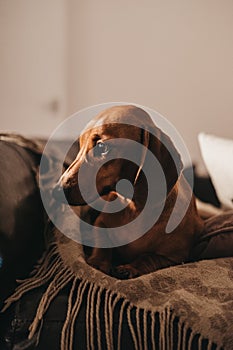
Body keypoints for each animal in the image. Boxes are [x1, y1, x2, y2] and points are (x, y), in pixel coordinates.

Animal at [53, 105, 204, 280]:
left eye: (101, 147)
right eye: (80, 144)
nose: (56, 191)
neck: (134, 208)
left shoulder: (176, 257)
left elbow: (148, 257)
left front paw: (130, 268)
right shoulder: (100, 223)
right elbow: (103, 243)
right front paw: (98, 262)